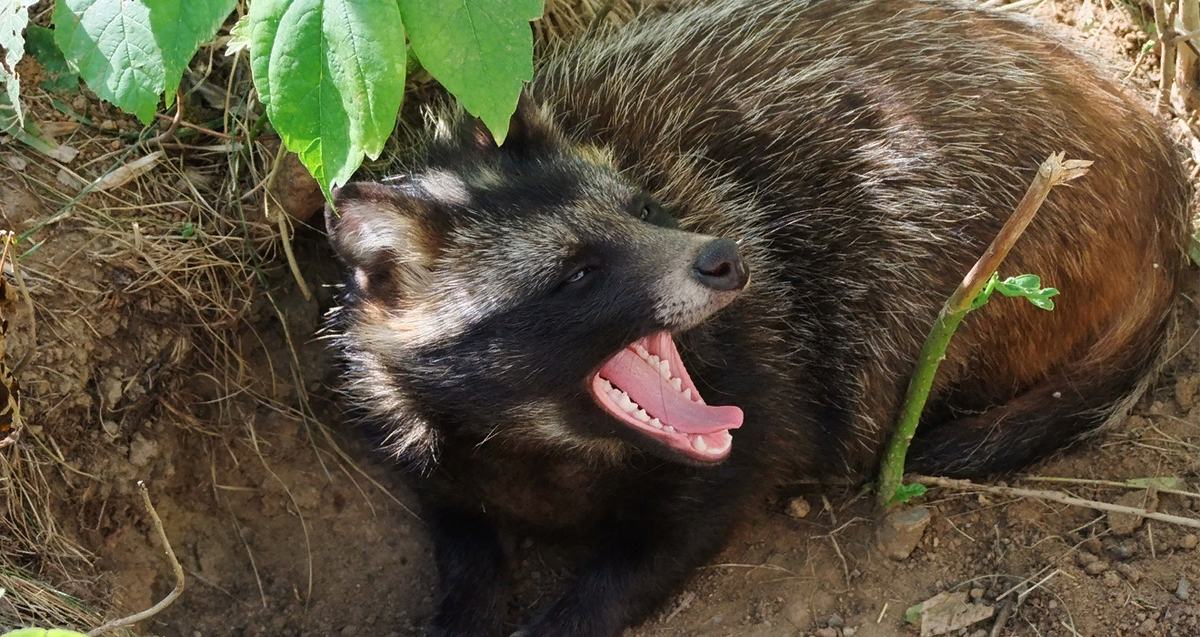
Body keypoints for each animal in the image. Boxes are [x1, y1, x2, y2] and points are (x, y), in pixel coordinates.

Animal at [321, 2, 1190, 633]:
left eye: (645, 206)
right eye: (576, 272)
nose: (723, 258)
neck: (543, 443)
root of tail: (1158, 171)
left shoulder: (765, 378)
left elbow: (692, 518)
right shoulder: (426, 439)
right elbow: (460, 534)